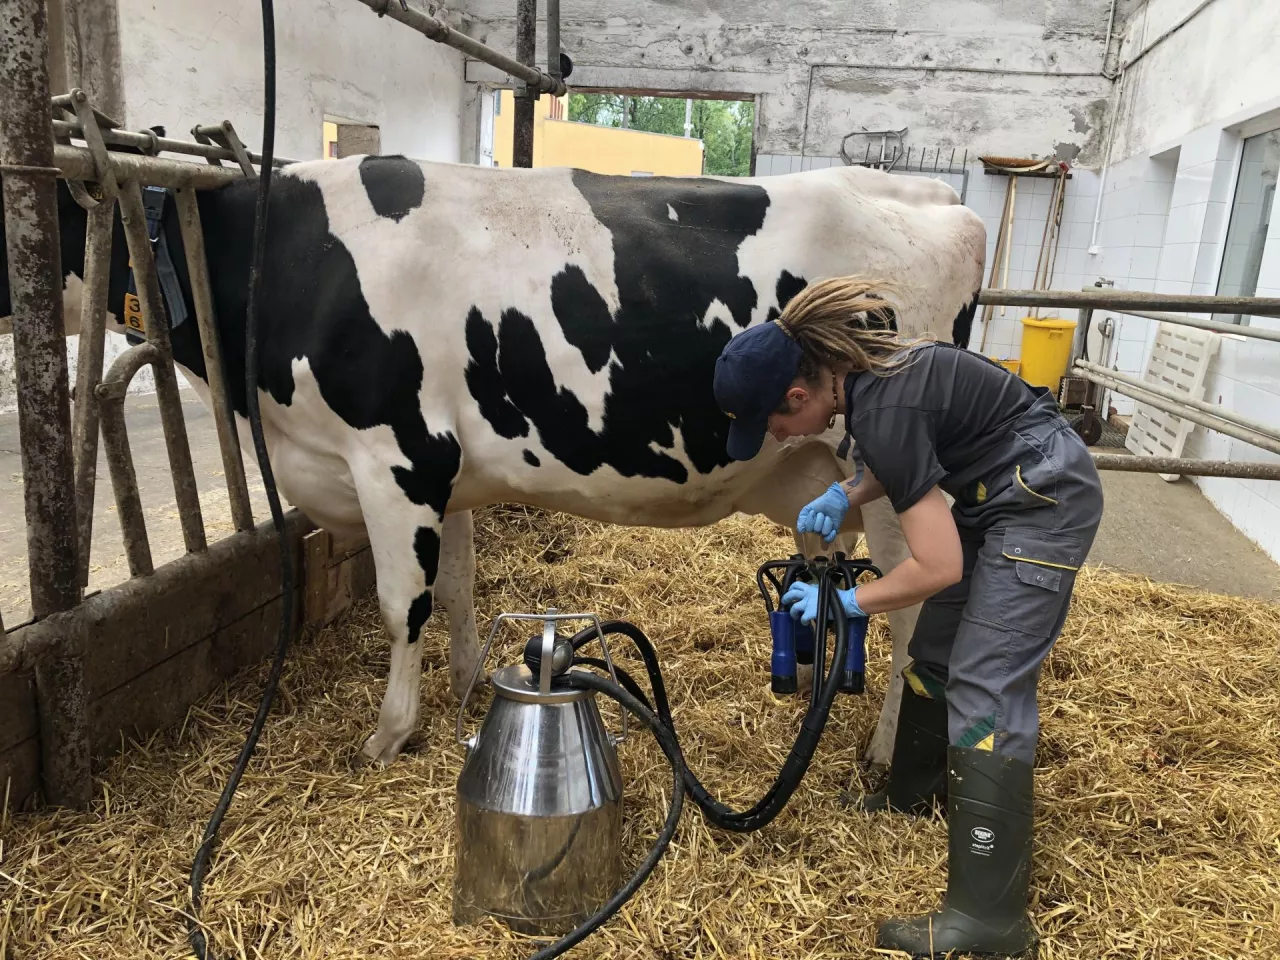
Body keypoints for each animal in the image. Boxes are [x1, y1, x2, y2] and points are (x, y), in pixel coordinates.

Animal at [0, 152, 983, 768]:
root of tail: (944, 203)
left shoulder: (396, 458)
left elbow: (403, 603)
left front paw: (391, 733)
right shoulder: (449, 472)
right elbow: (460, 588)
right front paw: (471, 685)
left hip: (892, 478)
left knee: (915, 616)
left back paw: (880, 756)